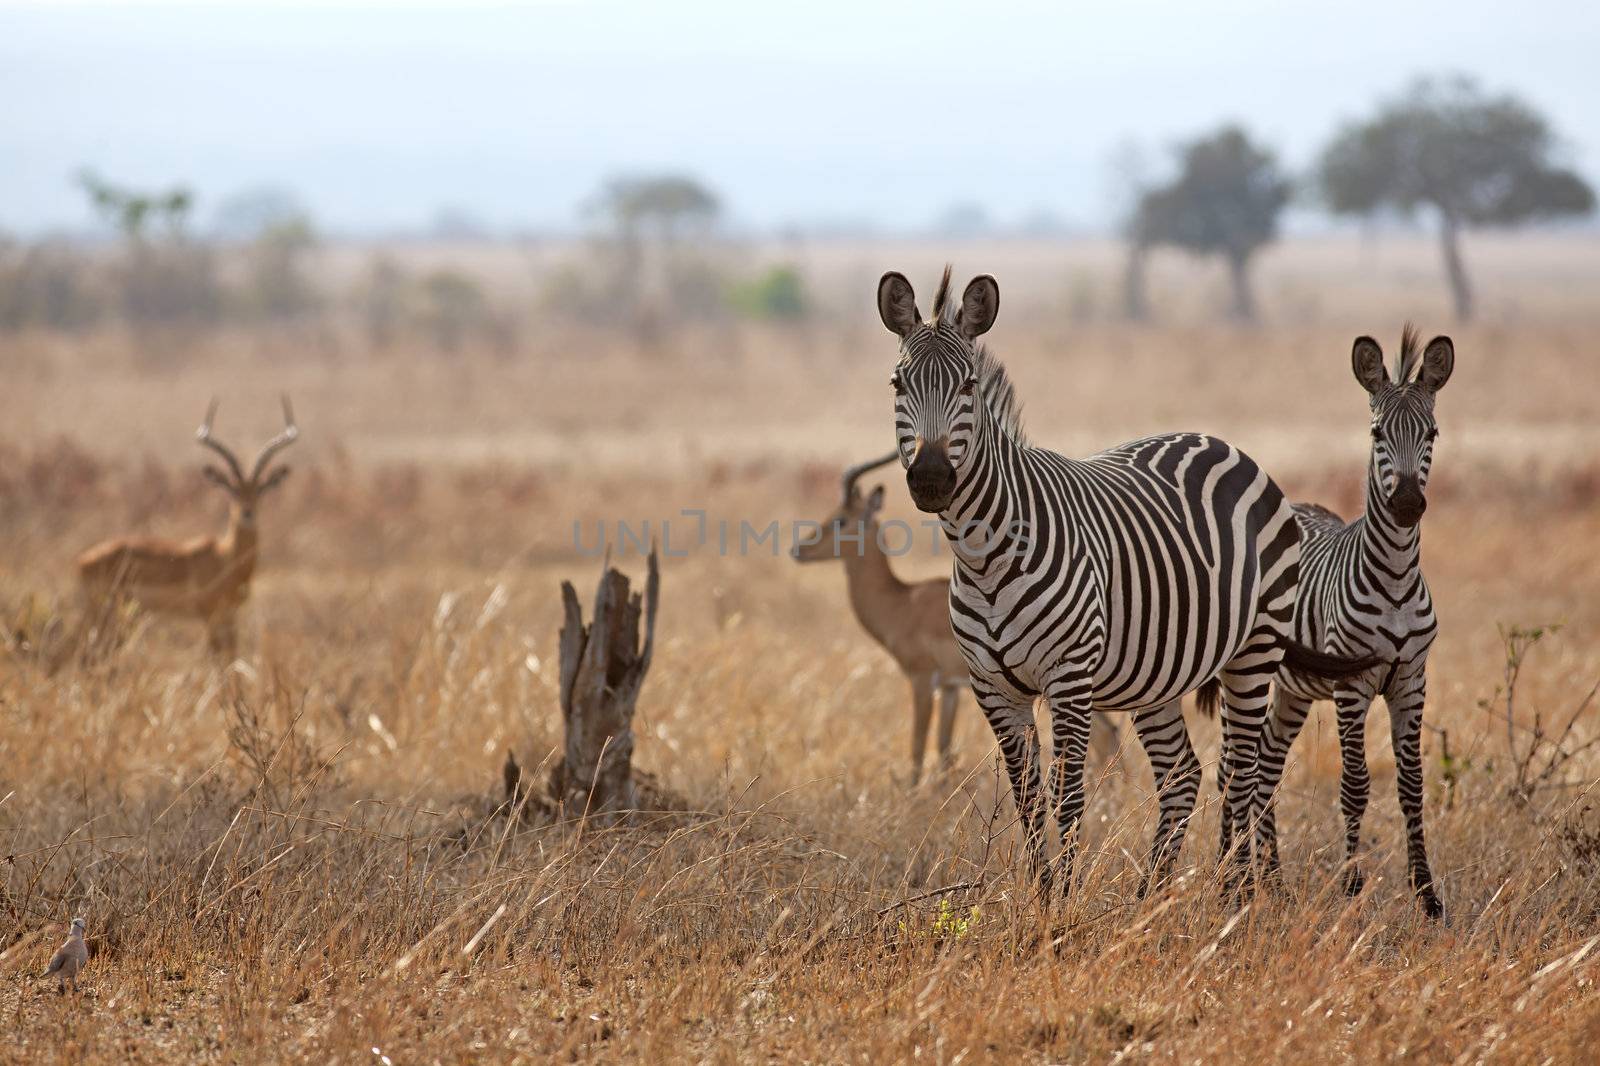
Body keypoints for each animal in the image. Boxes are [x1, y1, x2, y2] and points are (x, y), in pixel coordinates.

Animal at [77, 393, 300, 653]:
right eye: (232, 491)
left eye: (260, 491)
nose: (247, 513)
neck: (225, 558)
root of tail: (83, 561)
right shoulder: (210, 616)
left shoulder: (229, 616)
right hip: (105, 614)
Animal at [793, 451, 1120, 784]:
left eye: (840, 519)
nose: (799, 549)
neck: (902, 603)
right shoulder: (950, 688)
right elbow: (943, 747)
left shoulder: (922, 679)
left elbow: (918, 745)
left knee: (1105, 735)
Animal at [883, 265, 1369, 889]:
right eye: (897, 384)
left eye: (967, 385)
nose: (931, 478)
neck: (984, 554)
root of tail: (1222, 443)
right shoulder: (992, 688)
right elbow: (1027, 800)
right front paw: (1042, 895)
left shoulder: (1069, 679)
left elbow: (1067, 797)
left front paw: (1063, 903)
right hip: (1155, 673)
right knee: (1183, 774)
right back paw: (1153, 896)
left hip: (1254, 651)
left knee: (1244, 772)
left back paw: (1231, 894)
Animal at [1254, 326, 1459, 915]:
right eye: (1376, 433)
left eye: (1432, 431)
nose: (1408, 503)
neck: (1394, 578)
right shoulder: (1352, 685)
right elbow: (1355, 783)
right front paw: (1350, 884)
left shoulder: (1411, 680)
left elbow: (1411, 784)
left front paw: (1427, 894)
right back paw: (1252, 876)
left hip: (1293, 689)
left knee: (1267, 764)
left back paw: (1274, 881)